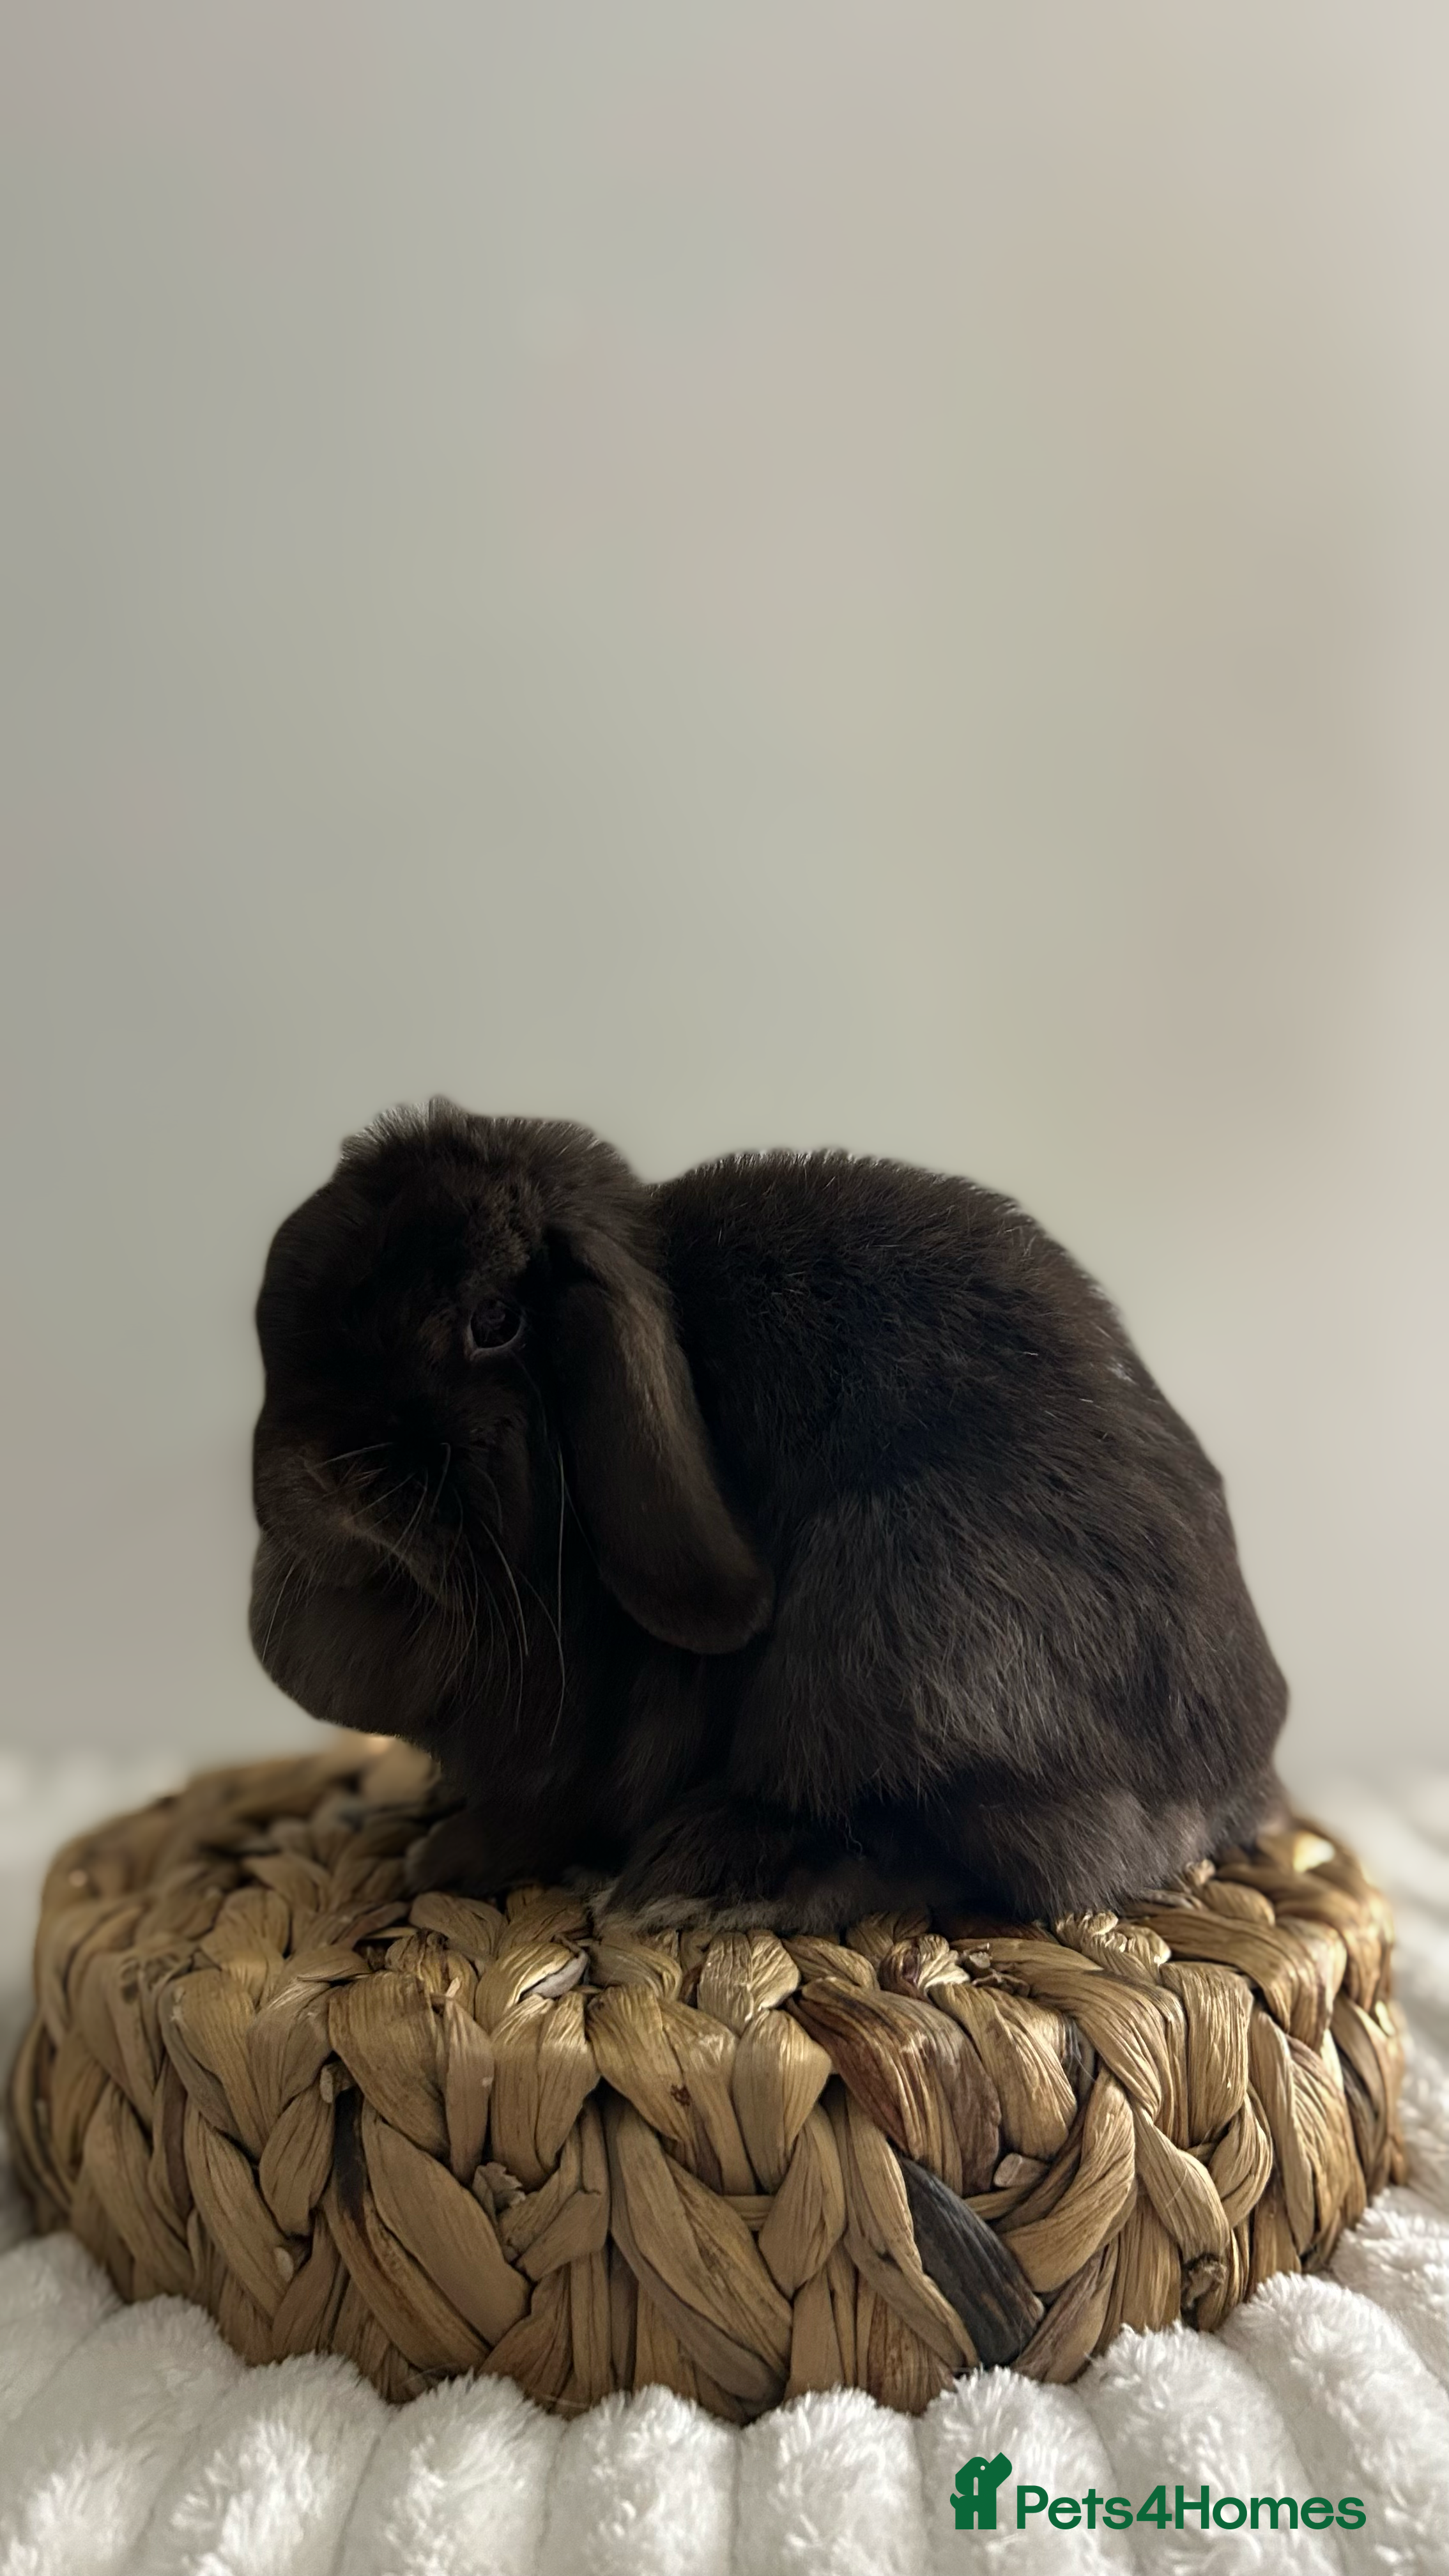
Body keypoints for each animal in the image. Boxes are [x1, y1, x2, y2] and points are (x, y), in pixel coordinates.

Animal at [249, 1100, 1288, 1930]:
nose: (319, 1472)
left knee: (949, 1851)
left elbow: (536, 1815)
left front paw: (447, 1860)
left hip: (900, 1613)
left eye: (493, 1321)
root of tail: (1237, 1771)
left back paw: (712, 1879)